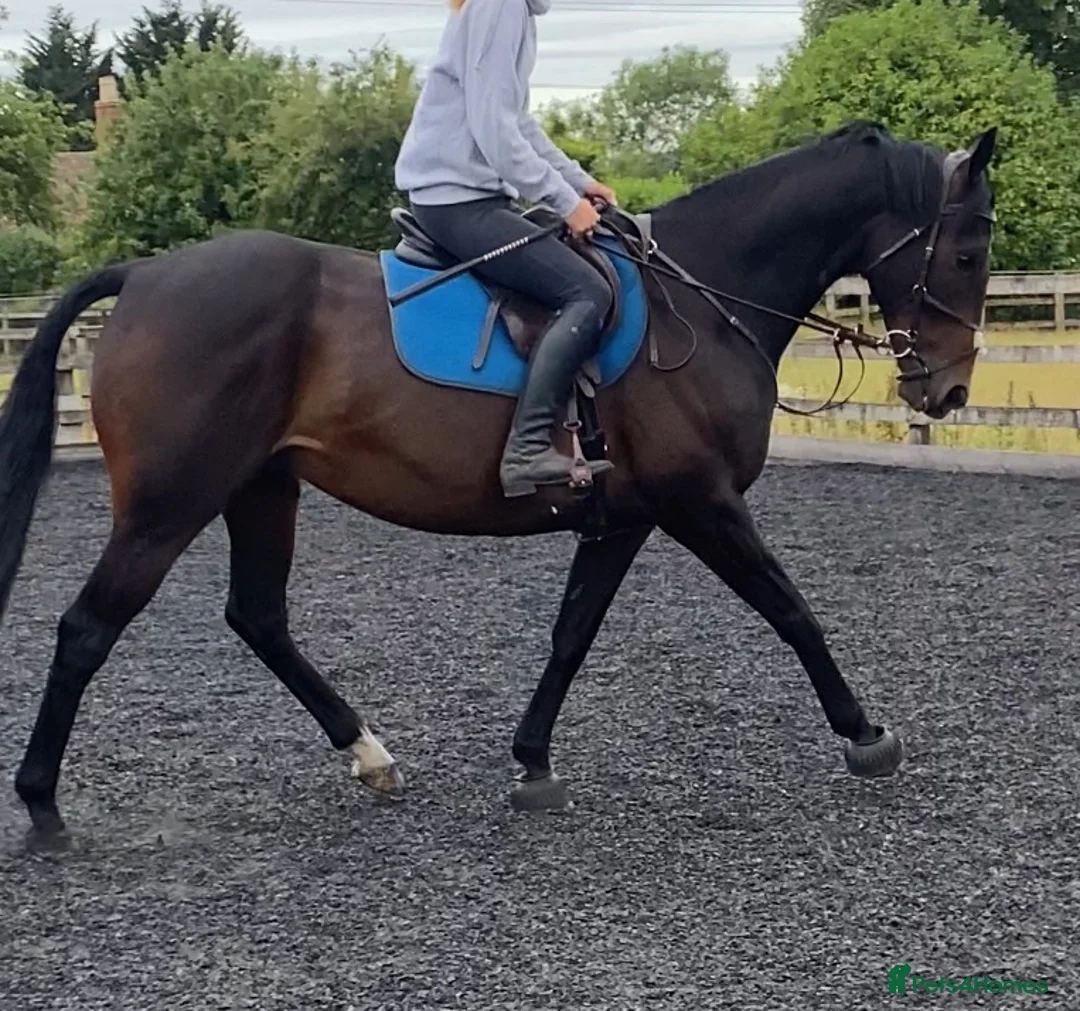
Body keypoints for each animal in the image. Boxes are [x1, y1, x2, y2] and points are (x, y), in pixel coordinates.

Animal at [0, 121, 996, 840]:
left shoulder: (626, 516)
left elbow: (571, 635)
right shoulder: (701, 501)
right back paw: (43, 804)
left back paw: (369, 754)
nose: (947, 390)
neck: (704, 298)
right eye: (965, 253)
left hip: (261, 489)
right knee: (88, 628)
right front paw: (865, 735)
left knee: (258, 617)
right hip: (170, 503)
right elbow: (792, 610)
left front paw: (532, 762)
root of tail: (145, 276)